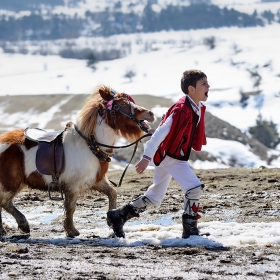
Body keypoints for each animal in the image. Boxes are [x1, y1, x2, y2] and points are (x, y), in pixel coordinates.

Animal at [0, 85, 155, 236]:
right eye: (122, 104)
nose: (150, 114)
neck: (90, 145)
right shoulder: (73, 186)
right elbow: (71, 207)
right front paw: (71, 230)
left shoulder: (96, 181)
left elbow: (112, 193)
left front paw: (112, 220)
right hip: (10, 184)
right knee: (4, 202)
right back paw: (17, 226)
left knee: (4, 203)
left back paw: (15, 227)